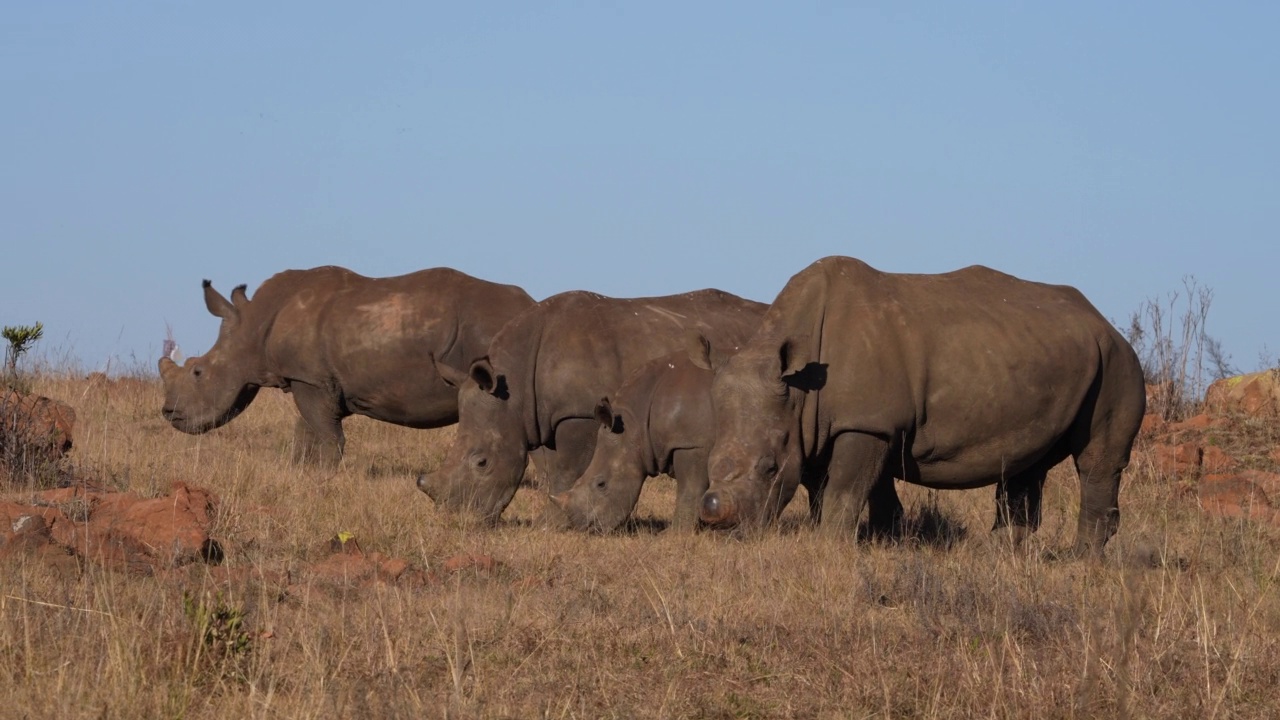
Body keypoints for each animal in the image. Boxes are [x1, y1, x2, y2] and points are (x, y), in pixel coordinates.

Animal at [161, 265, 535, 466]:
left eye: (198, 372)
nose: (168, 413)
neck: (254, 324)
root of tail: (531, 305)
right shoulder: (306, 378)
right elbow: (306, 432)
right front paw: (304, 471)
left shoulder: (310, 380)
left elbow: (328, 436)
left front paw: (324, 477)